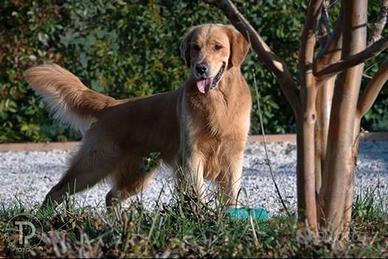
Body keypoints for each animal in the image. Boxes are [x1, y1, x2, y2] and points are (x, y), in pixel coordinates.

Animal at [24, 23, 250, 208]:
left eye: (217, 47)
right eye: (195, 47)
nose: (200, 68)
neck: (219, 101)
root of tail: (111, 105)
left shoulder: (233, 156)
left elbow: (232, 193)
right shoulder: (193, 154)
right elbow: (198, 192)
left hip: (136, 174)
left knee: (110, 197)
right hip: (94, 164)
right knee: (56, 191)